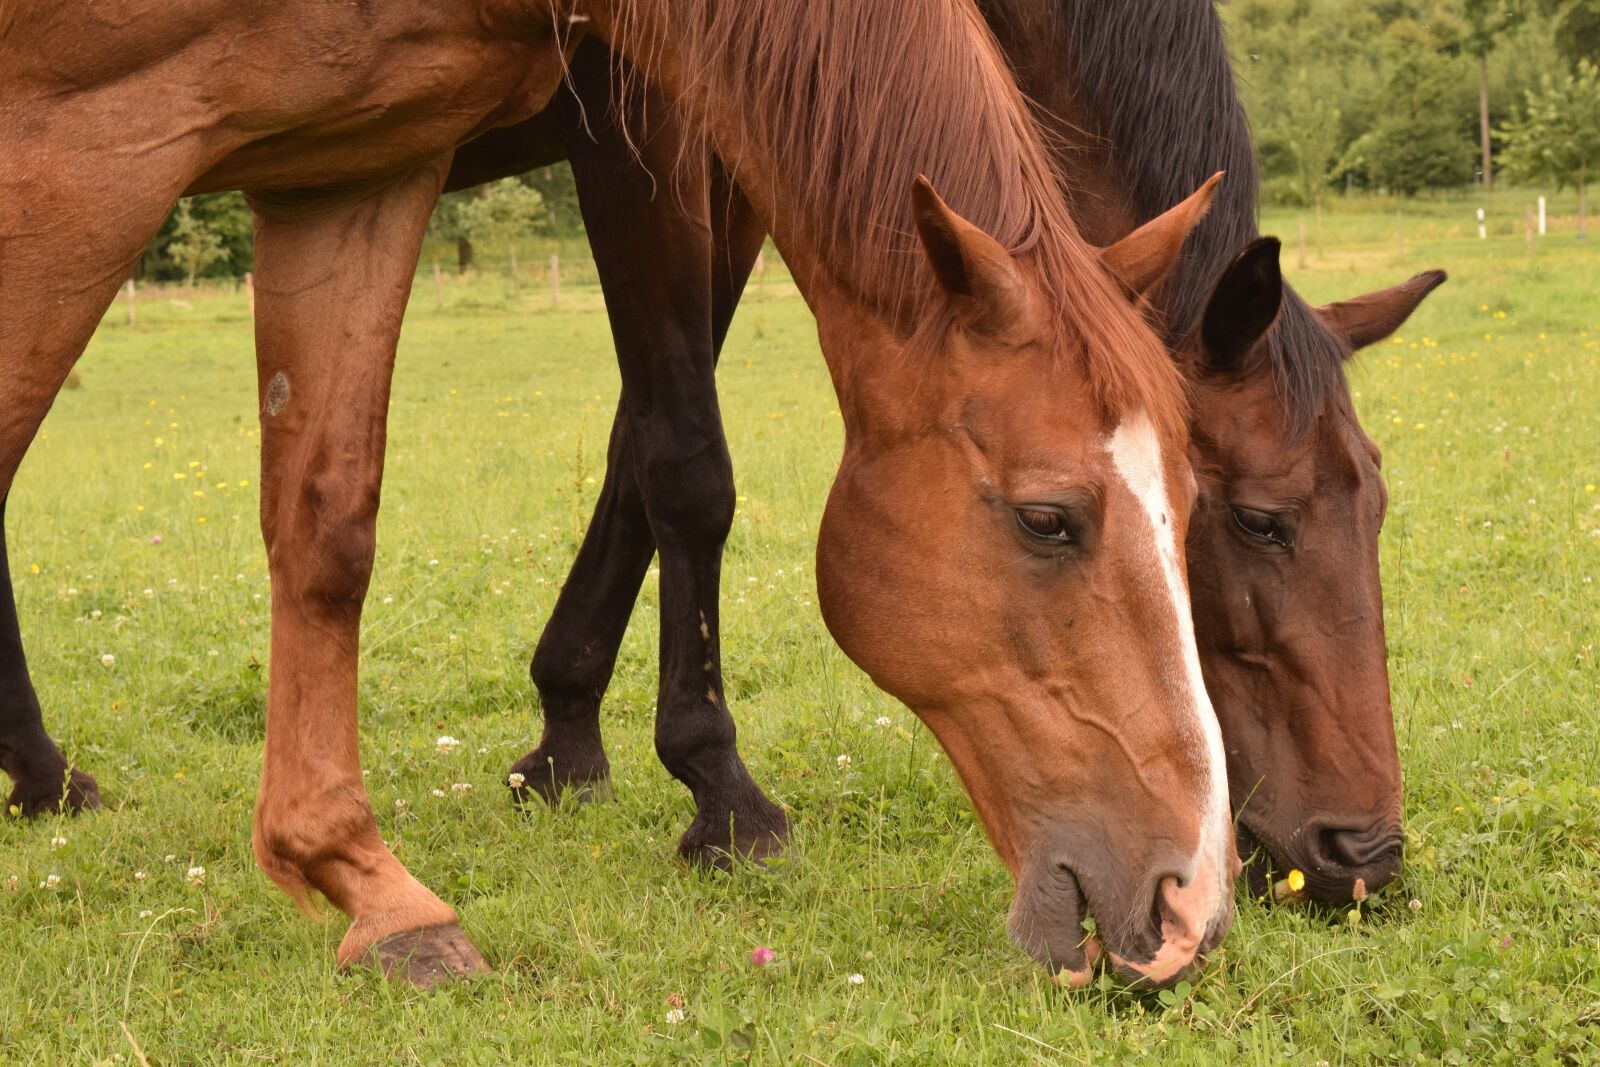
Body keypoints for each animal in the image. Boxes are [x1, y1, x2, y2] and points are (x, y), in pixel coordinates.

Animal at [1, 0, 1234, 986]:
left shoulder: (355, 163)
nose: (1191, 905)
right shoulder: (82, 144)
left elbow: (329, 524)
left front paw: (372, 887)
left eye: (1199, 508)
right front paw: (714, 797)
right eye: (1048, 518)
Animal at [431, 0, 1446, 907]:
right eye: (1257, 519)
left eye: (1378, 507)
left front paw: (565, 739)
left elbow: (635, 449)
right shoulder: (634, 128)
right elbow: (683, 462)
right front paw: (720, 795)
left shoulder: (739, 155)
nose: (1365, 852)